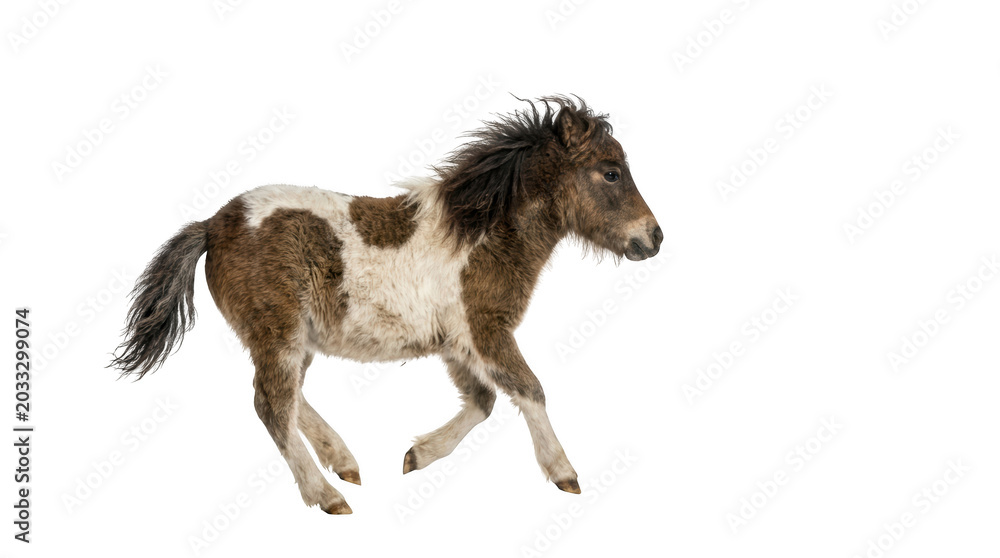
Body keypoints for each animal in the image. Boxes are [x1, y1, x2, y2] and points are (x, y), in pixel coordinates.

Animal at [110, 96, 662, 514]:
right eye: (611, 173)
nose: (654, 237)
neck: (479, 235)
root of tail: (211, 225)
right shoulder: (484, 330)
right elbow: (530, 390)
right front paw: (564, 472)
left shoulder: (457, 345)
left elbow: (482, 402)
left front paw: (417, 456)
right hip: (279, 333)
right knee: (271, 403)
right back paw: (327, 495)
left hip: (297, 338)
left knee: (287, 398)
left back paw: (344, 462)